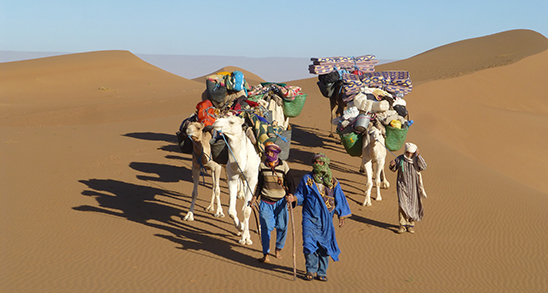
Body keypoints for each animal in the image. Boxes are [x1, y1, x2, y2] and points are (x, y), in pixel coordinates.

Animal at [212, 114, 262, 244]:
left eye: (232, 122)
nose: (216, 122)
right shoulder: (232, 178)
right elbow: (231, 211)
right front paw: (241, 228)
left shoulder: (252, 179)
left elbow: (246, 209)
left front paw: (245, 239)